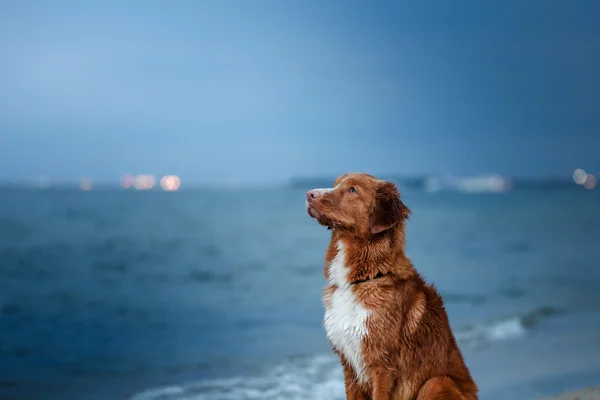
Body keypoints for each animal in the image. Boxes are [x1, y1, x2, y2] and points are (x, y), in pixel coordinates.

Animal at [304, 173, 478, 400]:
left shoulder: (382, 366)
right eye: (334, 185)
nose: (309, 194)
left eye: (352, 190)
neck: (365, 278)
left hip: (436, 383)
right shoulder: (349, 365)